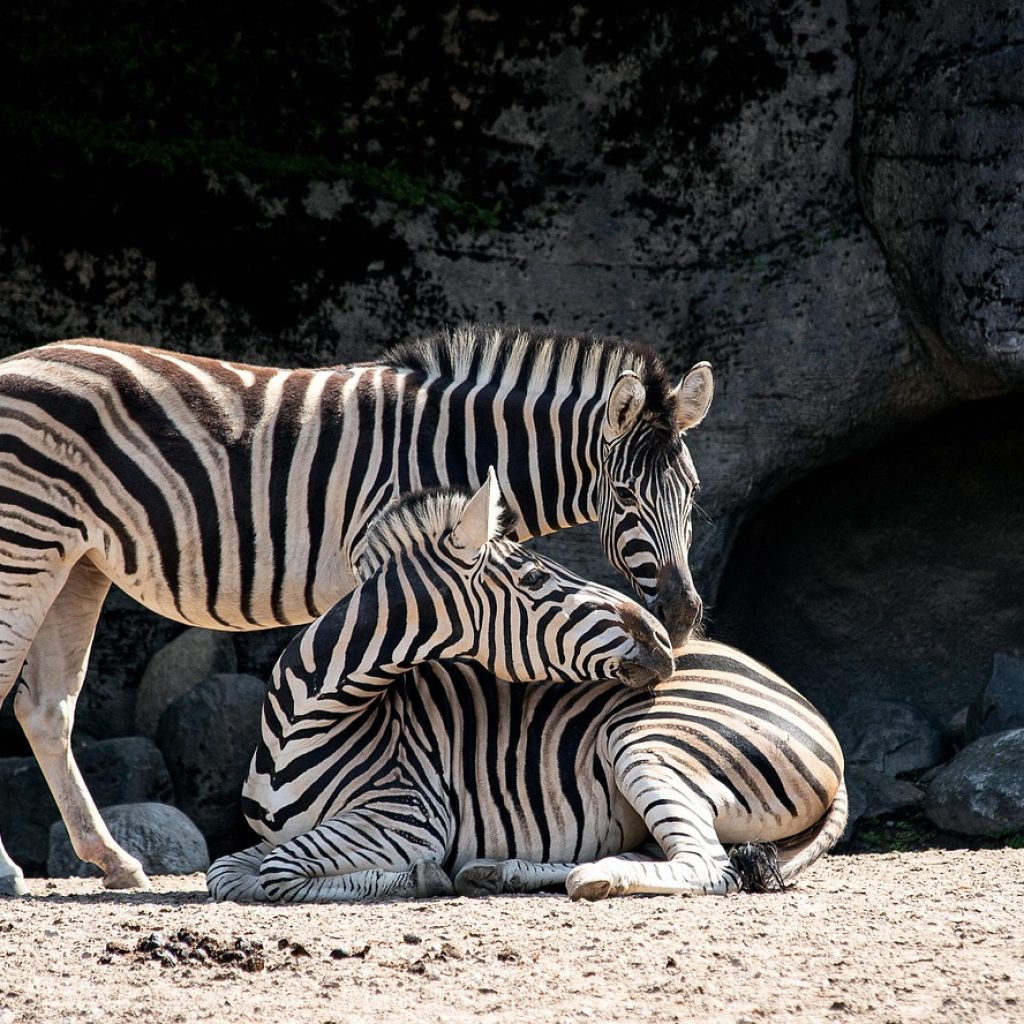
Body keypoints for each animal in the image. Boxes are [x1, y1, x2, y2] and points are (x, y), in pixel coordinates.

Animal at [0, 323, 712, 892]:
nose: (679, 617)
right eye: (625, 495)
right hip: (26, 542)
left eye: (693, 492)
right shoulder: (384, 553)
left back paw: (114, 861)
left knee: (47, 710)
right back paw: (13, 873)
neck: (461, 446)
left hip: (78, 561)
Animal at [203, 475, 843, 901]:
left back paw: (591, 877)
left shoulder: (408, 816)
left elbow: (276, 874)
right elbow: (227, 874)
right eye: (536, 577)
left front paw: (419, 876)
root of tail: (814, 714)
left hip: (645, 742)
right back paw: (499, 870)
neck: (304, 720)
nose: (665, 637)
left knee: (709, 865)